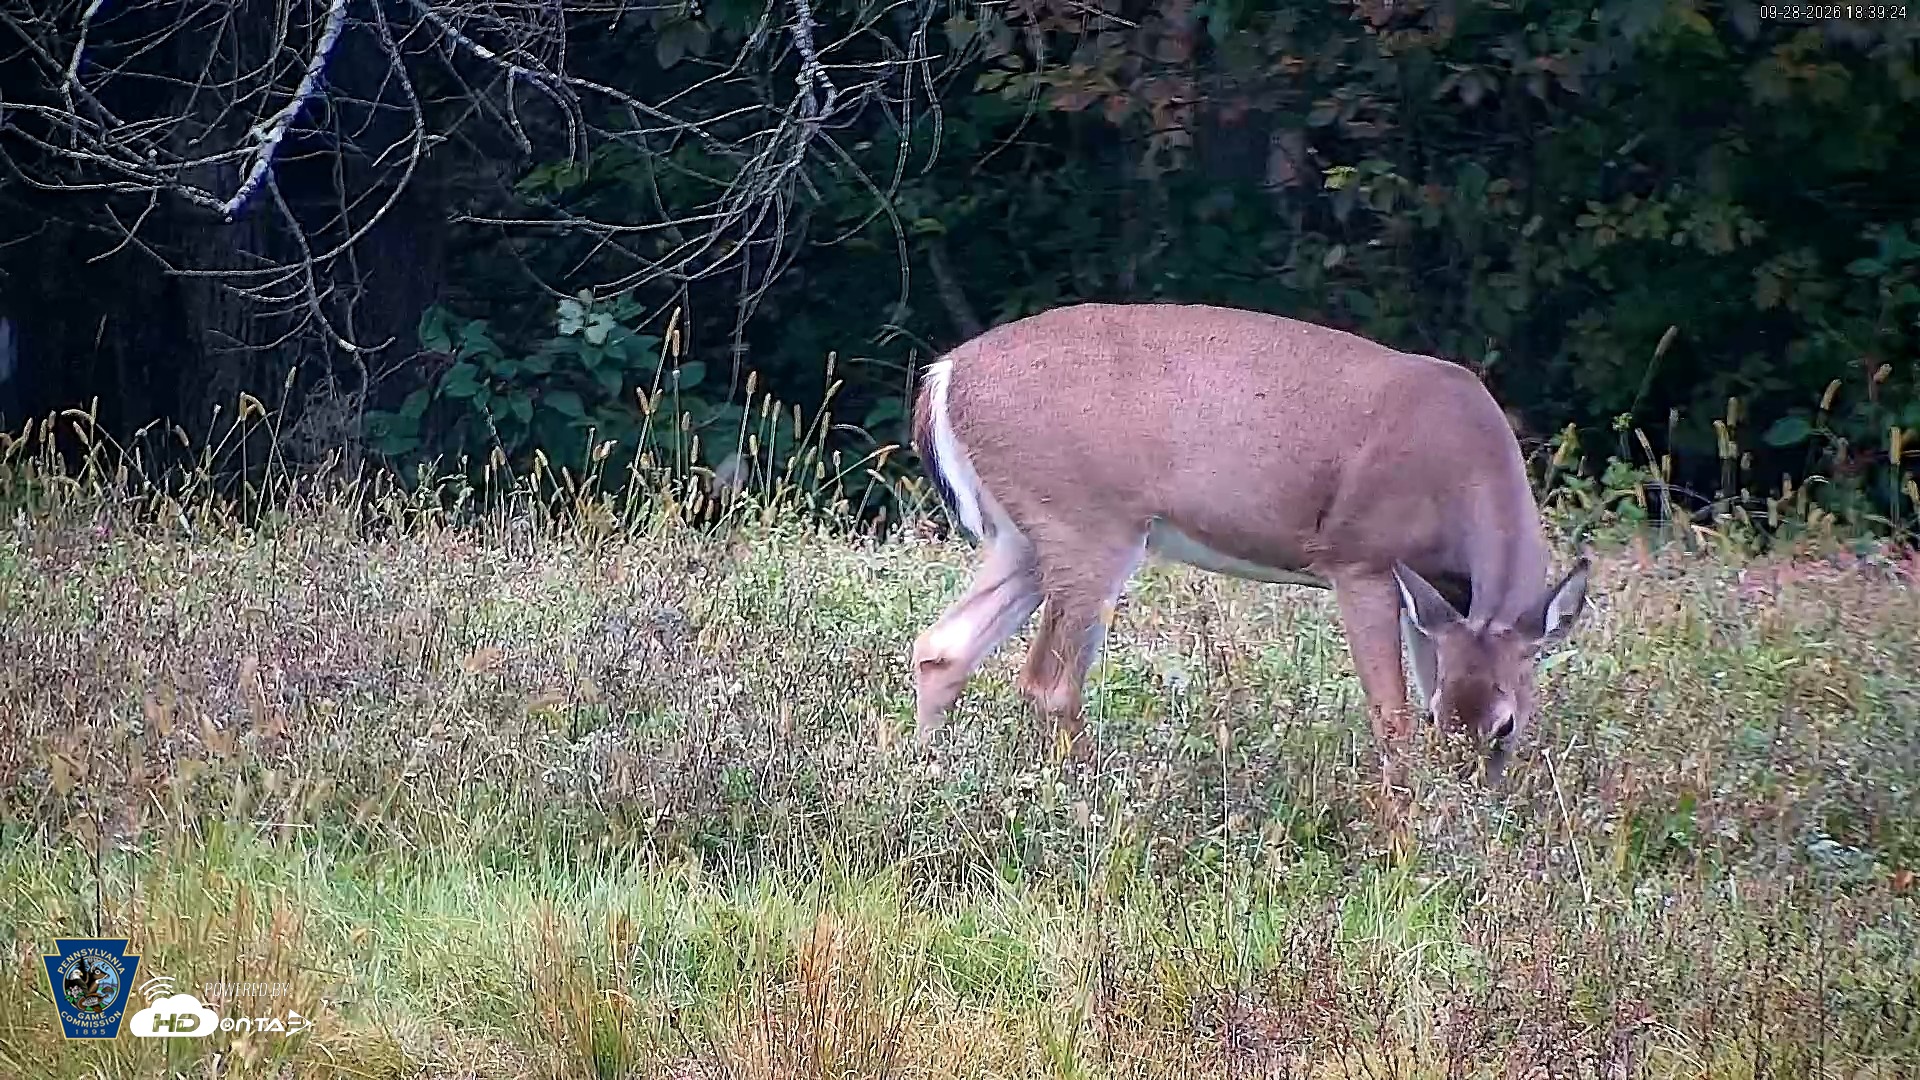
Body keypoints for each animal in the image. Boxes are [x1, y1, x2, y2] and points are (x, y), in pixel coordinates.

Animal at [908, 302, 1591, 790]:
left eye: (1503, 724)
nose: (1468, 799)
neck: (1464, 468)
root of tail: (944, 376)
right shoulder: (1361, 558)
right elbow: (1389, 719)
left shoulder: (1436, 599)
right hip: (1088, 523)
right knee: (1049, 682)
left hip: (1024, 536)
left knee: (942, 647)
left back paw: (924, 780)